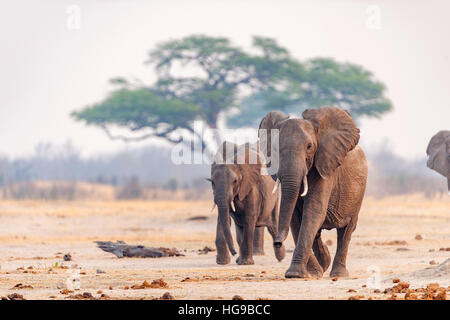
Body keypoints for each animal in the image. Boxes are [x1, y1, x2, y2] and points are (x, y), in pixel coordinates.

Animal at [258, 107, 368, 278]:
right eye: (275, 149)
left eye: (309, 147)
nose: (277, 243)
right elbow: (296, 216)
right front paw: (309, 273)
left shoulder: (325, 166)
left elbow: (313, 211)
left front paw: (296, 274)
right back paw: (324, 264)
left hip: (358, 194)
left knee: (346, 230)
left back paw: (338, 274)